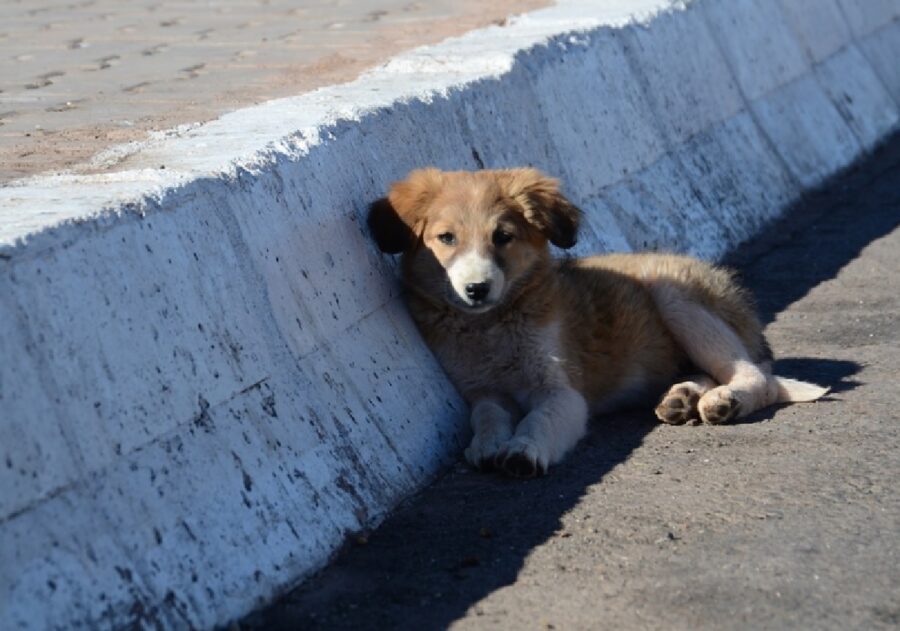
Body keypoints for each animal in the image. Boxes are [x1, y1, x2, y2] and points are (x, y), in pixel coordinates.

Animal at [368, 168, 828, 478]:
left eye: (503, 237)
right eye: (446, 238)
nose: (476, 289)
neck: (492, 326)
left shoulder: (562, 392)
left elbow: (540, 420)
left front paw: (522, 450)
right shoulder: (481, 389)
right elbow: (487, 415)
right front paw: (488, 444)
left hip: (674, 294)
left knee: (757, 377)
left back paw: (724, 401)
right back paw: (682, 397)